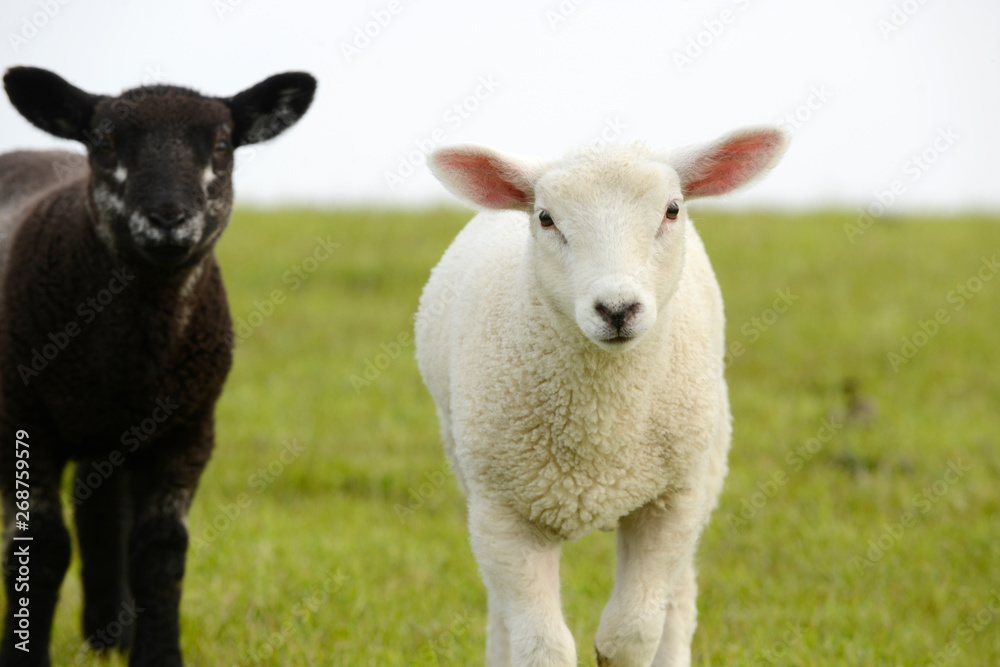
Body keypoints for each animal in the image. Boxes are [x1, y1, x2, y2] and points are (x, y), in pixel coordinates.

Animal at [414, 126, 788, 667]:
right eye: (545, 217)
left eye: (672, 209)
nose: (616, 309)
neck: (602, 432)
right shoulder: (502, 511)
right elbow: (542, 647)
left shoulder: (671, 502)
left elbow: (630, 635)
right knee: (501, 611)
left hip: (706, 468)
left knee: (679, 601)